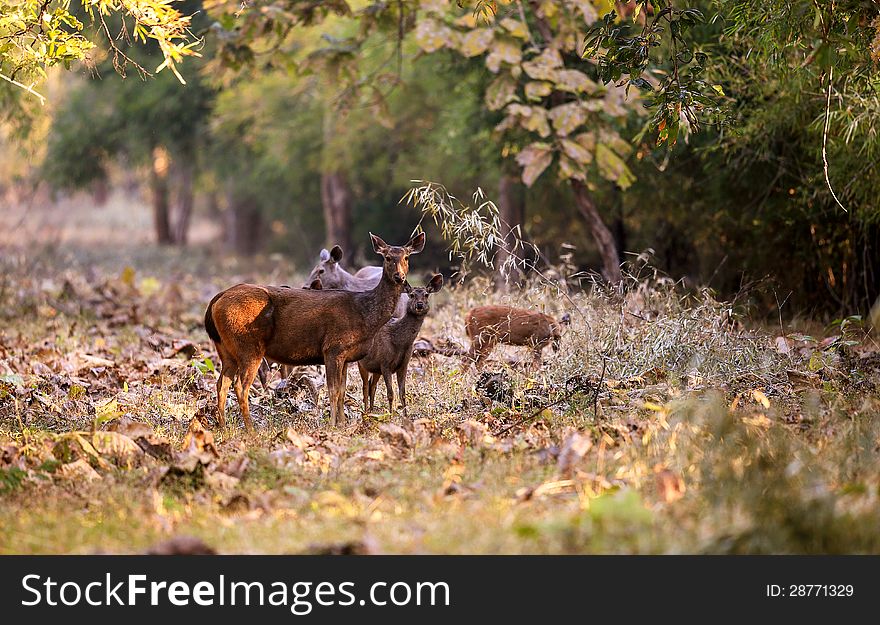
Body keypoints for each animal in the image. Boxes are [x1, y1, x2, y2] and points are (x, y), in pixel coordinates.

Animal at [206, 232, 426, 432]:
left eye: (406, 257)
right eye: (387, 257)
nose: (400, 277)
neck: (364, 314)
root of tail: (215, 301)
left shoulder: (346, 356)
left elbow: (342, 390)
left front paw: (342, 424)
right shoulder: (333, 348)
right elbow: (333, 390)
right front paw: (332, 425)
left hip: (226, 349)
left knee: (221, 384)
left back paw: (223, 427)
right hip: (249, 345)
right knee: (240, 386)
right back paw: (251, 430)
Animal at [356, 272, 444, 414]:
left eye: (426, 294)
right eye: (412, 294)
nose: (419, 305)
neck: (400, 342)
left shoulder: (403, 364)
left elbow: (402, 393)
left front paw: (405, 415)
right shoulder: (385, 363)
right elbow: (390, 393)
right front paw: (391, 414)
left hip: (375, 368)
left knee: (372, 385)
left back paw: (372, 410)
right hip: (361, 362)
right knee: (365, 387)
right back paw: (366, 412)